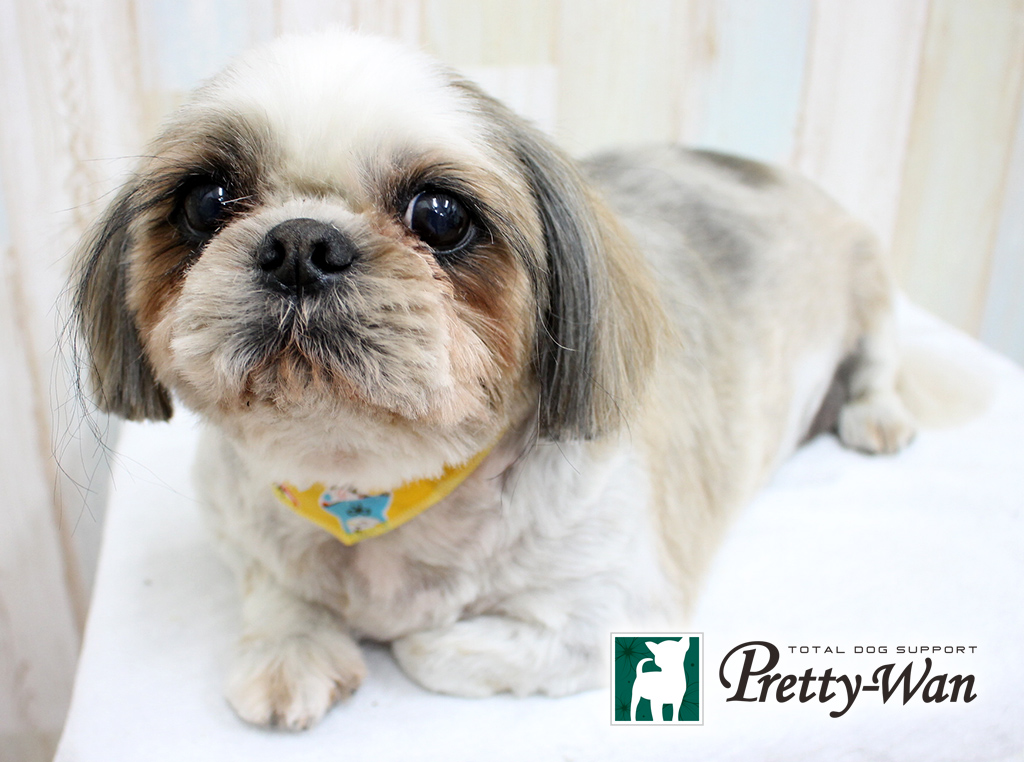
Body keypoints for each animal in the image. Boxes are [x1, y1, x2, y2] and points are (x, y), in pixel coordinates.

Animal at [72, 30, 917, 730]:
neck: (368, 488)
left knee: (878, 355)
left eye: (441, 215)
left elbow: (428, 646)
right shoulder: (236, 521)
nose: (301, 244)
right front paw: (292, 649)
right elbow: (275, 582)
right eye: (206, 200)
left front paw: (396, 633)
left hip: (871, 279)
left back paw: (874, 414)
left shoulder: (612, 620)